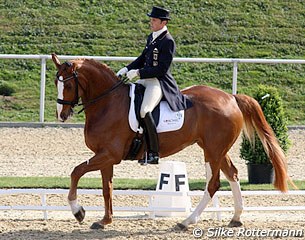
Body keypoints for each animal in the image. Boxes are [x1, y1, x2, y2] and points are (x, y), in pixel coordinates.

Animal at [51, 53, 290, 230]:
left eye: (68, 86)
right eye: (56, 82)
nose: (61, 115)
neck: (107, 103)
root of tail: (231, 97)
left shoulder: (110, 155)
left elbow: (76, 172)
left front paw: (78, 211)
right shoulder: (105, 157)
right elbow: (106, 188)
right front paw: (105, 221)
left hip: (213, 151)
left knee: (213, 184)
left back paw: (186, 222)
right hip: (216, 149)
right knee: (232, 174)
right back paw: (236, 218)